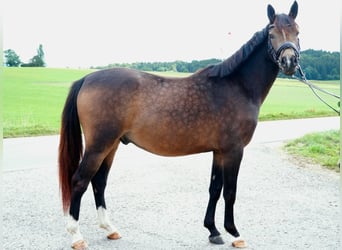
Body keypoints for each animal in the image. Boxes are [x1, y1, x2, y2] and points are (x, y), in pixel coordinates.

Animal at [60, 1, 300, 248]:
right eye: (271, 34)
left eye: (297, 32)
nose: (289, 62)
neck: (237, 86)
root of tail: (86, 79)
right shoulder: (234, 150)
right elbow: (230, 192)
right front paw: (235, 233)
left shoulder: (219, 151)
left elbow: (215, 189)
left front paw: (213, 230)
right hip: (99, 145)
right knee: (79, 181)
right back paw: (76, 236)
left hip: (112, 144)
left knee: (99, 181)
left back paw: (110, 229)